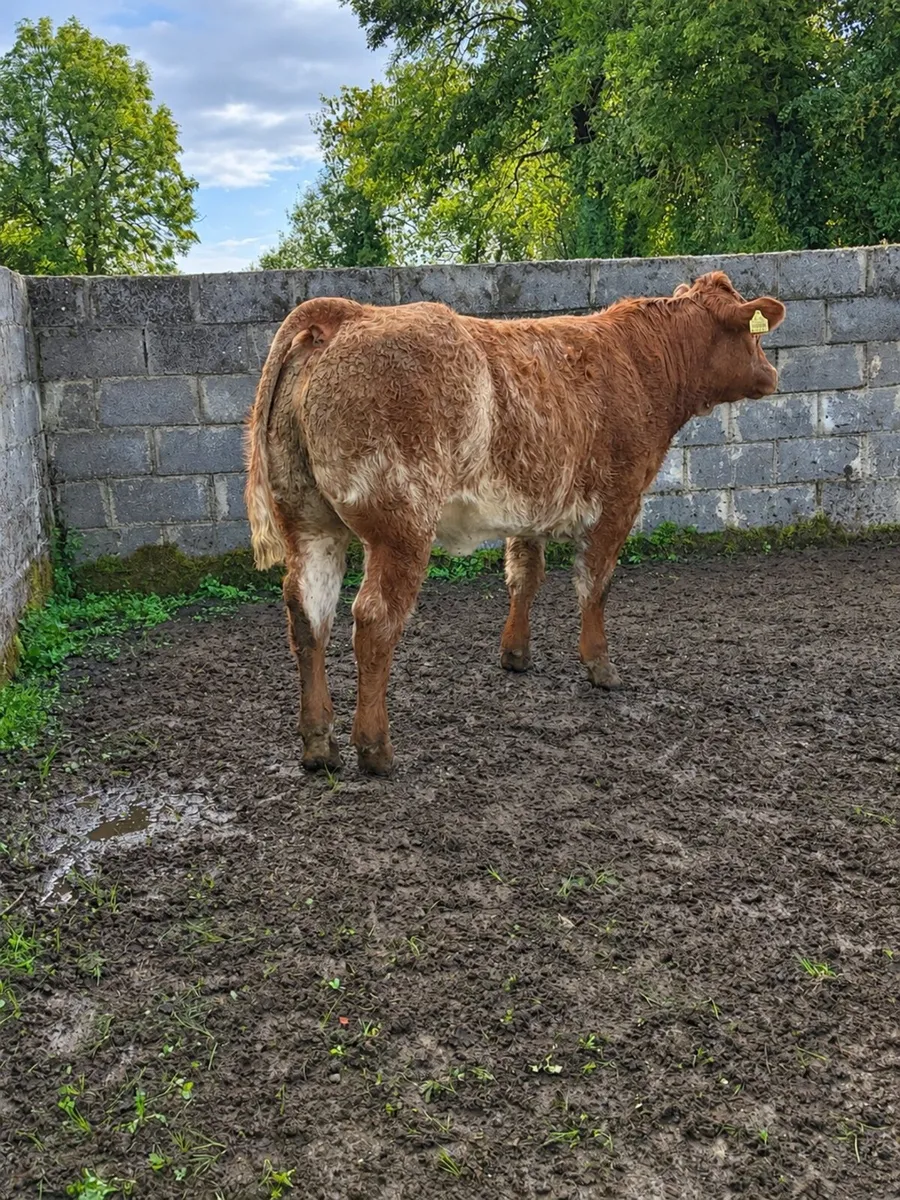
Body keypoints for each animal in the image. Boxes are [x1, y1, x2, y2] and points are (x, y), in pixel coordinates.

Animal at [245, 270, 785, 777]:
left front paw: (515, 654)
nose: (773, 374)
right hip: (401, 525)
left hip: (309, 522)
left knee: (308, 613)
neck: (640, 362)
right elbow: (595, 585)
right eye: (752, 333)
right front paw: (600, 665)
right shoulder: (618, 503)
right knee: (375, 619)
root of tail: (350, 314)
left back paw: (319, 745)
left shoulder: (530, 506)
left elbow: (525, 577)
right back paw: (375, 748)